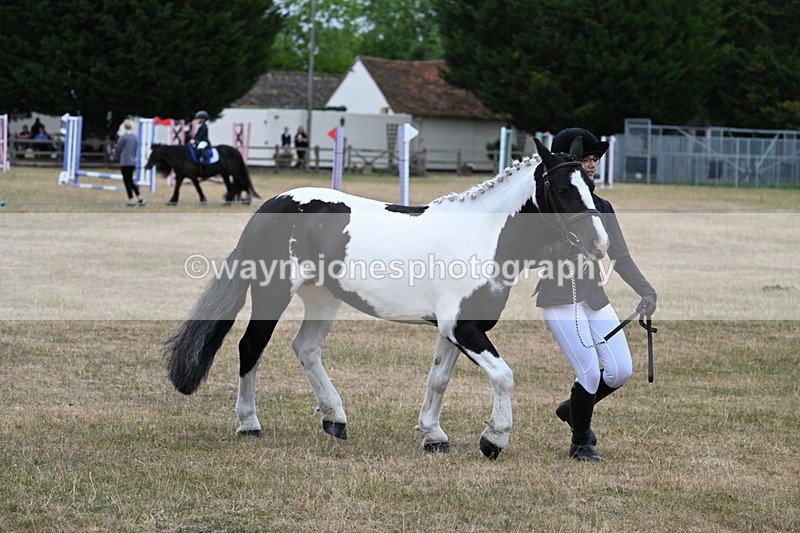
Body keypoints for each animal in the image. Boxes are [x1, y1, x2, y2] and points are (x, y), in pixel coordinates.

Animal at [163, 137, 610, 459]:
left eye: (590, 185)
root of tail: (272, 205)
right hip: (272, 292)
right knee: (250, 347)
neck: (483, 235)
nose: (599, 242)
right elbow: (503, 376)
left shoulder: (455, 330)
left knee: (306, 348)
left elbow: (438, 379)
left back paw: (335, 419)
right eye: (560, 188)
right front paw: (493, 439)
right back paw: (249, 424)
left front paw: (433, 435)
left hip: (323, 298)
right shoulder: (464, 328)